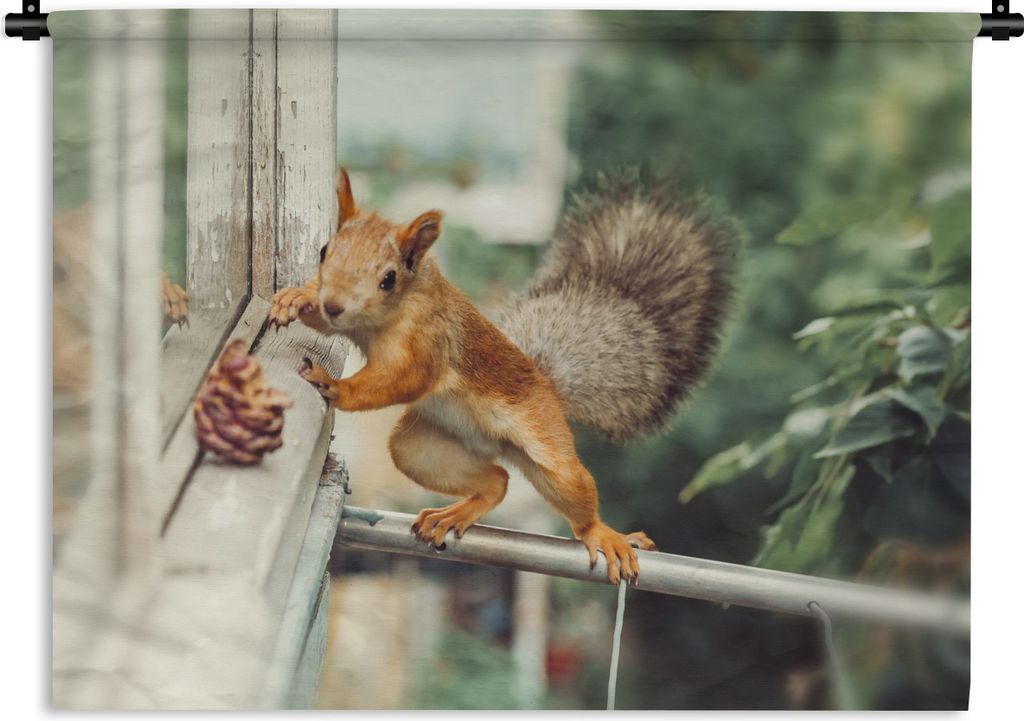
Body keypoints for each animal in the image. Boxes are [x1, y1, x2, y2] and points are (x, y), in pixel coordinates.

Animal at [269, 168, 738, 584]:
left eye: (388, 278)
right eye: (324, 251)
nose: (334, 304)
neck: (391, 311)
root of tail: (547, 384)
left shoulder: (428, 345)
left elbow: (401, 380)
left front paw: (335, 385)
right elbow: (323, 324)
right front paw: (294, 300)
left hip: (549, 450)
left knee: (572, 495)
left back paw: (605, 534)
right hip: (420, 448)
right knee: (497, 480)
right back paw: (454, 511)